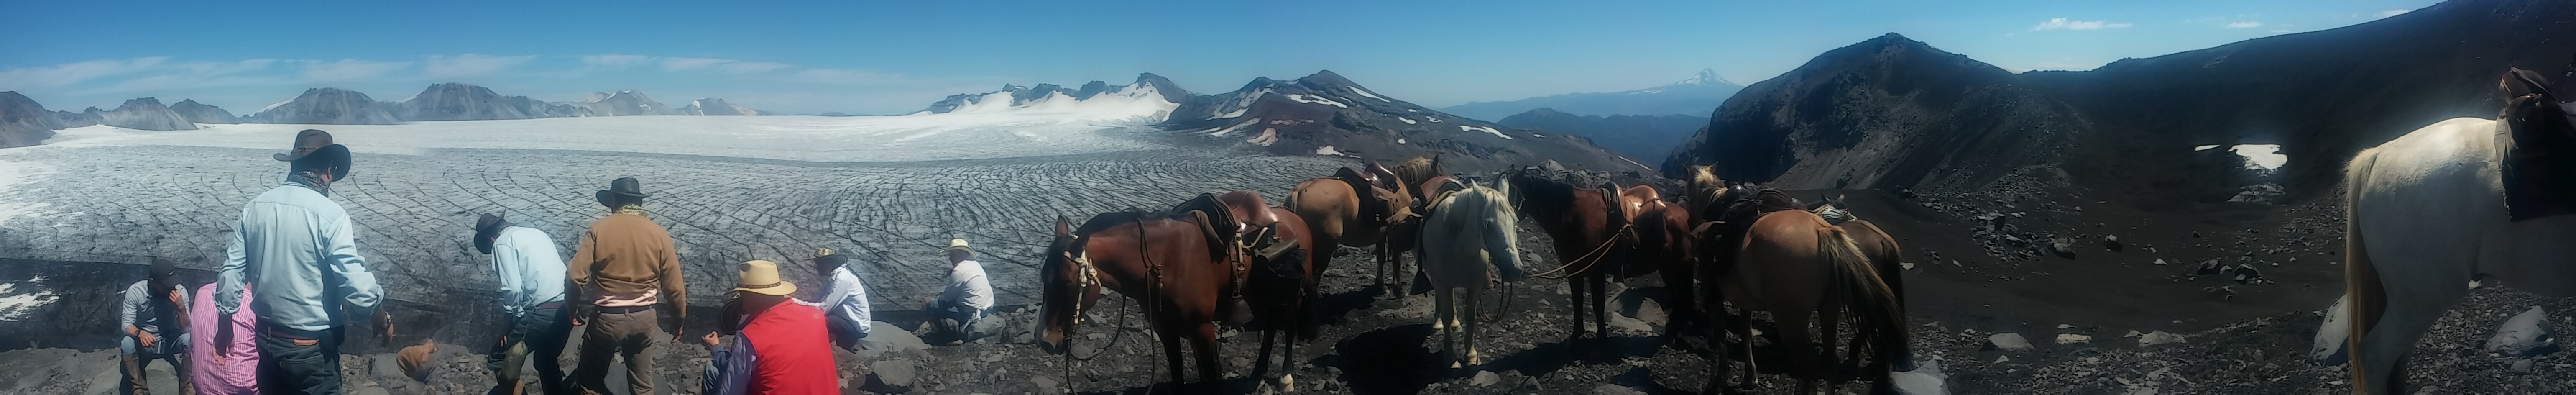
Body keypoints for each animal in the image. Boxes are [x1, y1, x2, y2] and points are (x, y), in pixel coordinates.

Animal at [1035, 206, 1257, 390]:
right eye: (1044, 278)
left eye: (1068, 282)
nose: (1045, 340)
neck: (1170, 264)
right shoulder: (1166, 331)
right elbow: (1178, 374)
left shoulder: (1203, 329)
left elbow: (1214, 375)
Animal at [1422, 177, 1515, 369]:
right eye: (1488, 224)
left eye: (1516, 222)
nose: (1515, 270)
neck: (1460, 245)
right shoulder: (1442, 283)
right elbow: (1447, 314)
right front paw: (1451, 357)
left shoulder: (1475, 286)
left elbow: (1470, 317)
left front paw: (1471, 355)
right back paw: (1437, 324)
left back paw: (1455, 324)